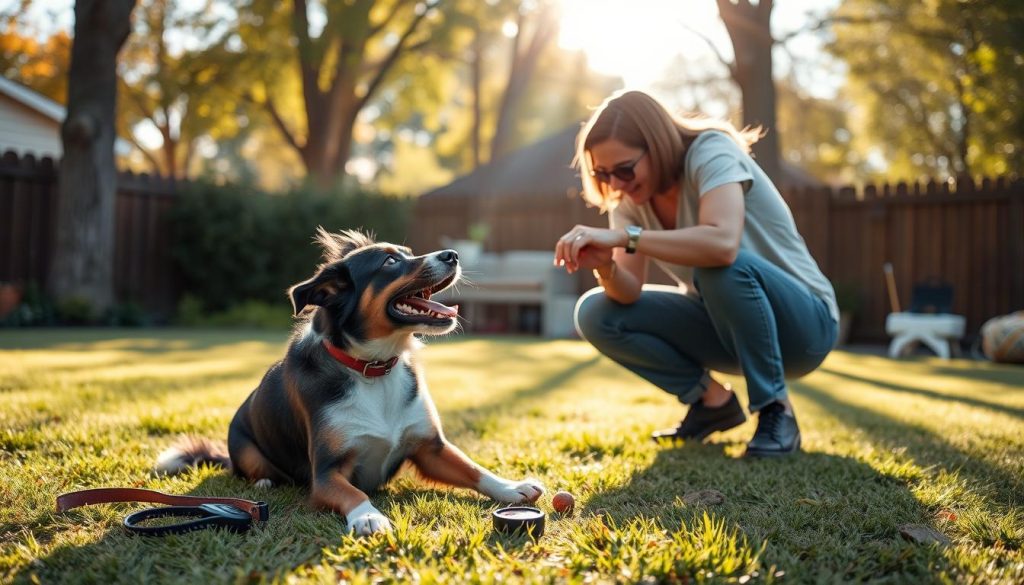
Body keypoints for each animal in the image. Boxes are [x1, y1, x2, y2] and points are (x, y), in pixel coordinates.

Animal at [155, 227, 540, 536]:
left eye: (407, 252)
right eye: (389, 262)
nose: (453, 255)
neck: (374, 367)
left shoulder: (431, 448)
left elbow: (473, 469)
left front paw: (512, 488)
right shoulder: (326, 474)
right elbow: (355, 493)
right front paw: (368, 516)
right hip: (244, 444)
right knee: (249, 468)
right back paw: (264, 480)